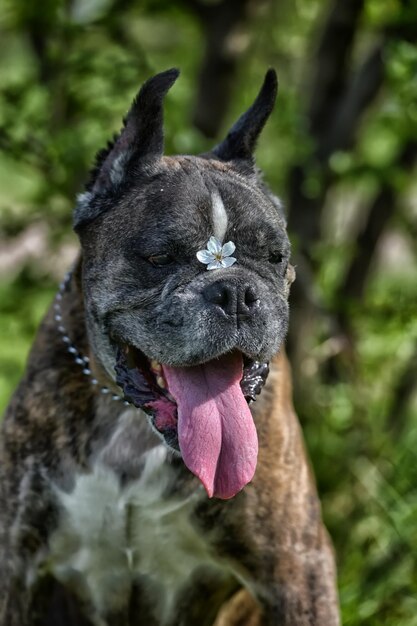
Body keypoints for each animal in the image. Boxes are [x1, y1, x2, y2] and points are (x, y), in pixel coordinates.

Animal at [0, 68, 338, 624]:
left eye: (275, 256)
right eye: (159, 257)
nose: (235, 292)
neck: (132, 426)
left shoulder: (297, 568)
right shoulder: (16, 561)